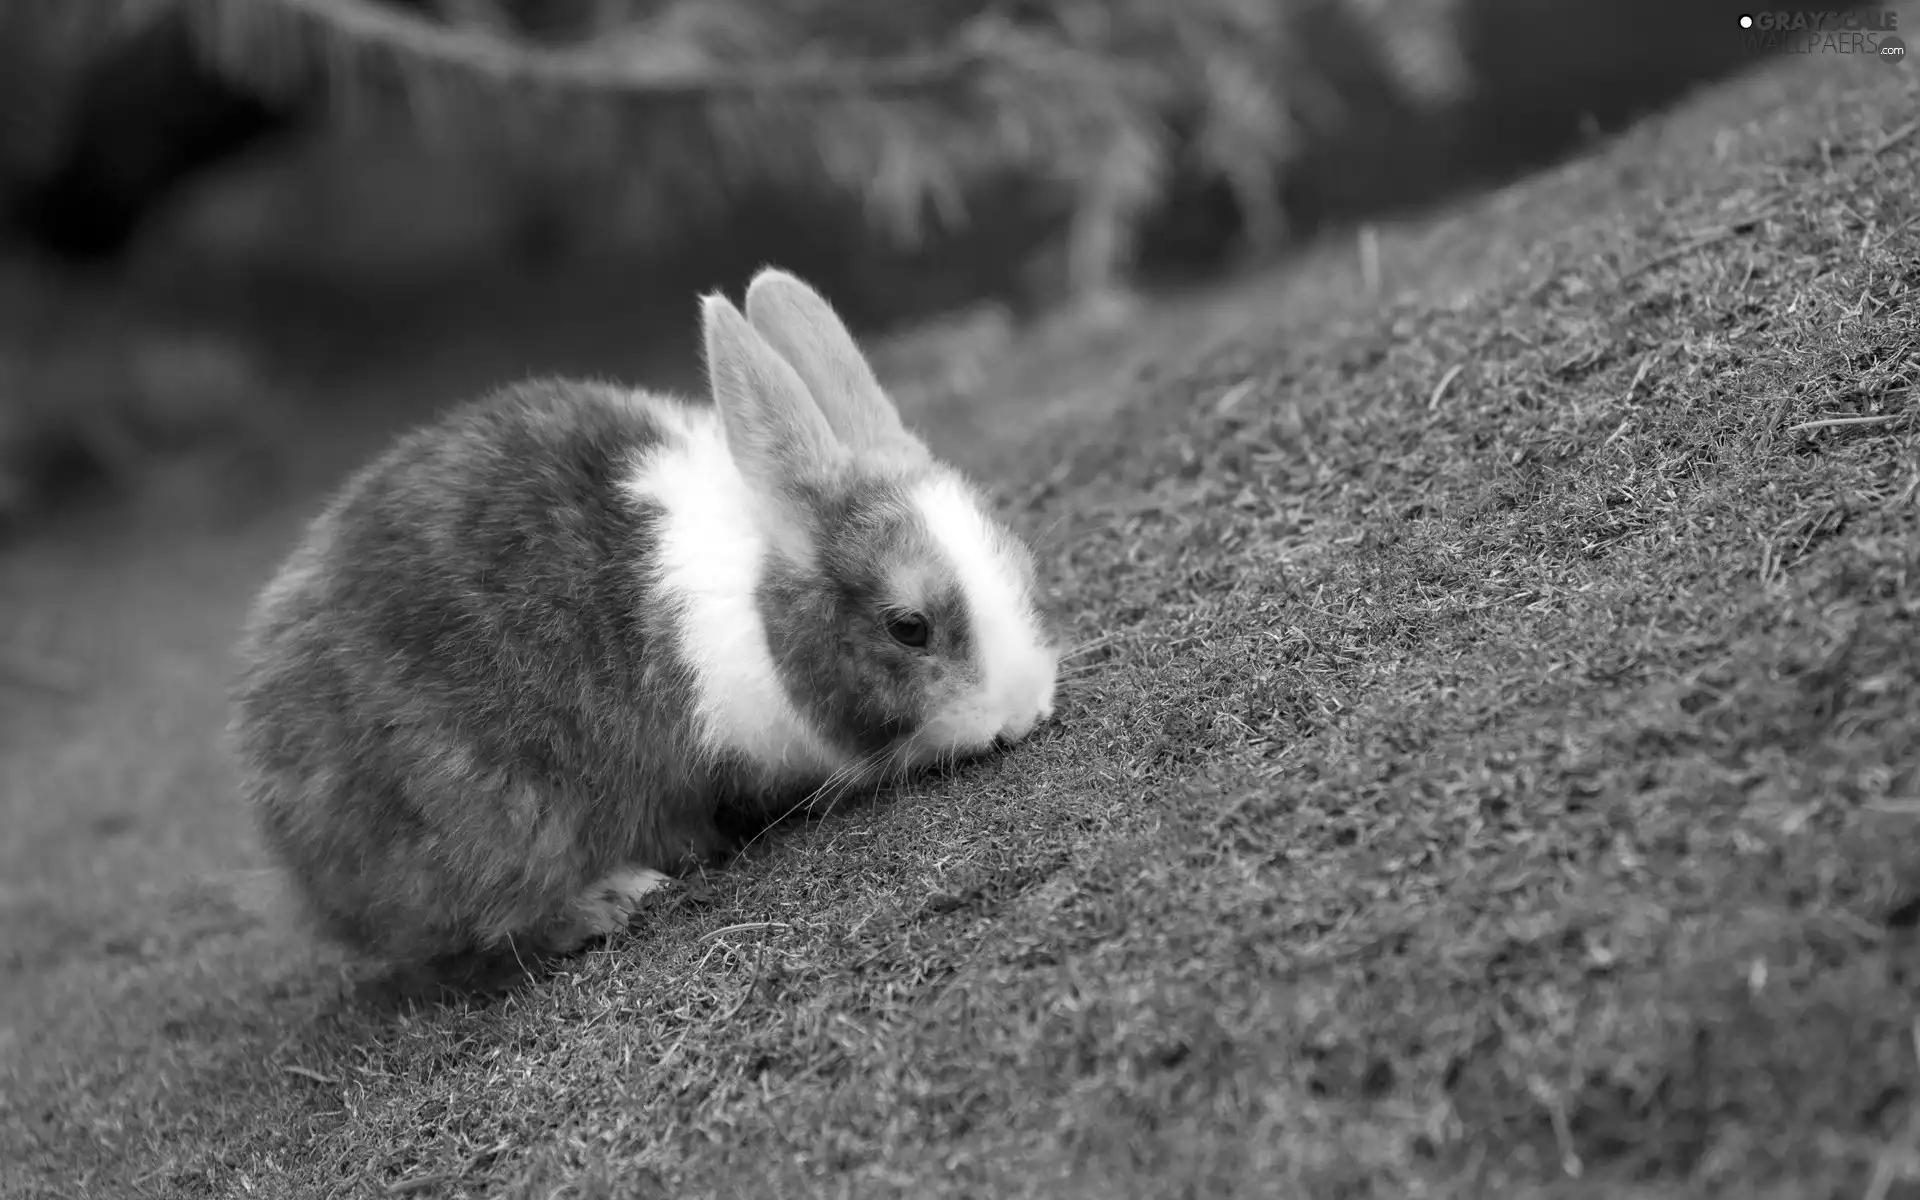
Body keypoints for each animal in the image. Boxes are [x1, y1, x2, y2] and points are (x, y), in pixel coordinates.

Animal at [232, 266, 1067, 967]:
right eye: (908, 626)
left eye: (1019, 564)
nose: (1022, 712)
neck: (762, 604)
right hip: (492, 817)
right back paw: (621, 895)